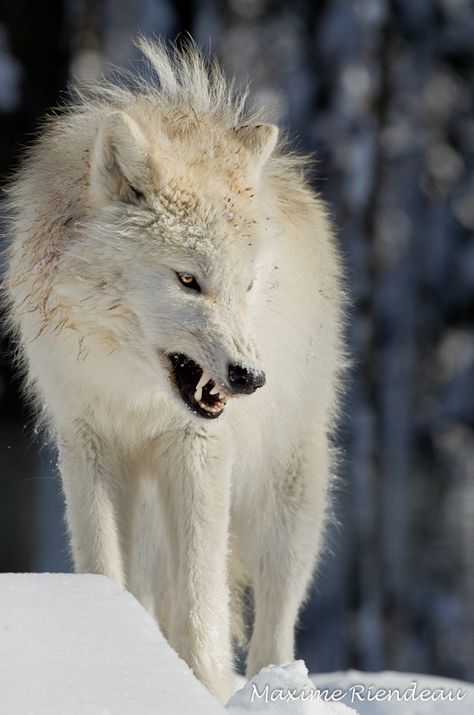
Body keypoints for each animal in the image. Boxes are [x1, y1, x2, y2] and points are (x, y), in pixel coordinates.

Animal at [2, 40, 344, 704]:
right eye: (188, 280)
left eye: (247, 286)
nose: (249, 377)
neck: (134, 389)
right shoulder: (88, 444)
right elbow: (105, 568)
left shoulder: (199, 452)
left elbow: (199, 600)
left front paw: (199, 688)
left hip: (289, 498)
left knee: (274, 620)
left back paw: (272, 687)